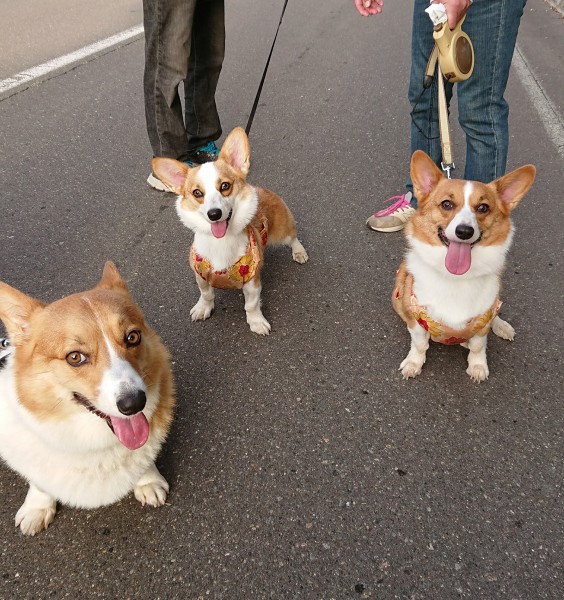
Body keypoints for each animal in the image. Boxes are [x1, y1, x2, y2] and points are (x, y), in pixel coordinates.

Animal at [0, 262, 175, 536]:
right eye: (75, 357)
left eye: (133, 337)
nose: (134, 403)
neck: (91, 441)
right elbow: (39, 482)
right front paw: (37, 507)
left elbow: (143, 458)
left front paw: (148, 481)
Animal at [151, 126, 308, 336]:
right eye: (197, 193)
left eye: (225, 186)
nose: (214, 214)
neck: (221, 241)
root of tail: (260, 189)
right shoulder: (201, 276)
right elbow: (206, 294)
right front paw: (203, 308)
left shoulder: (252, 281)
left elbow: (251, 305)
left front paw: (256, 322)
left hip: (283, 229)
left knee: (293, 238)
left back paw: (299, 253)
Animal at [394, 152, 536, 382]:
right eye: (446, 204)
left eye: (483, 208)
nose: (464, 231)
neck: (456, 278)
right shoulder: (416, 322)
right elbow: (420, 344)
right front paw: (414, 364)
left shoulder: (482, 322)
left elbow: (478, 345)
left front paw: (477, 367)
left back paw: (502, 327)